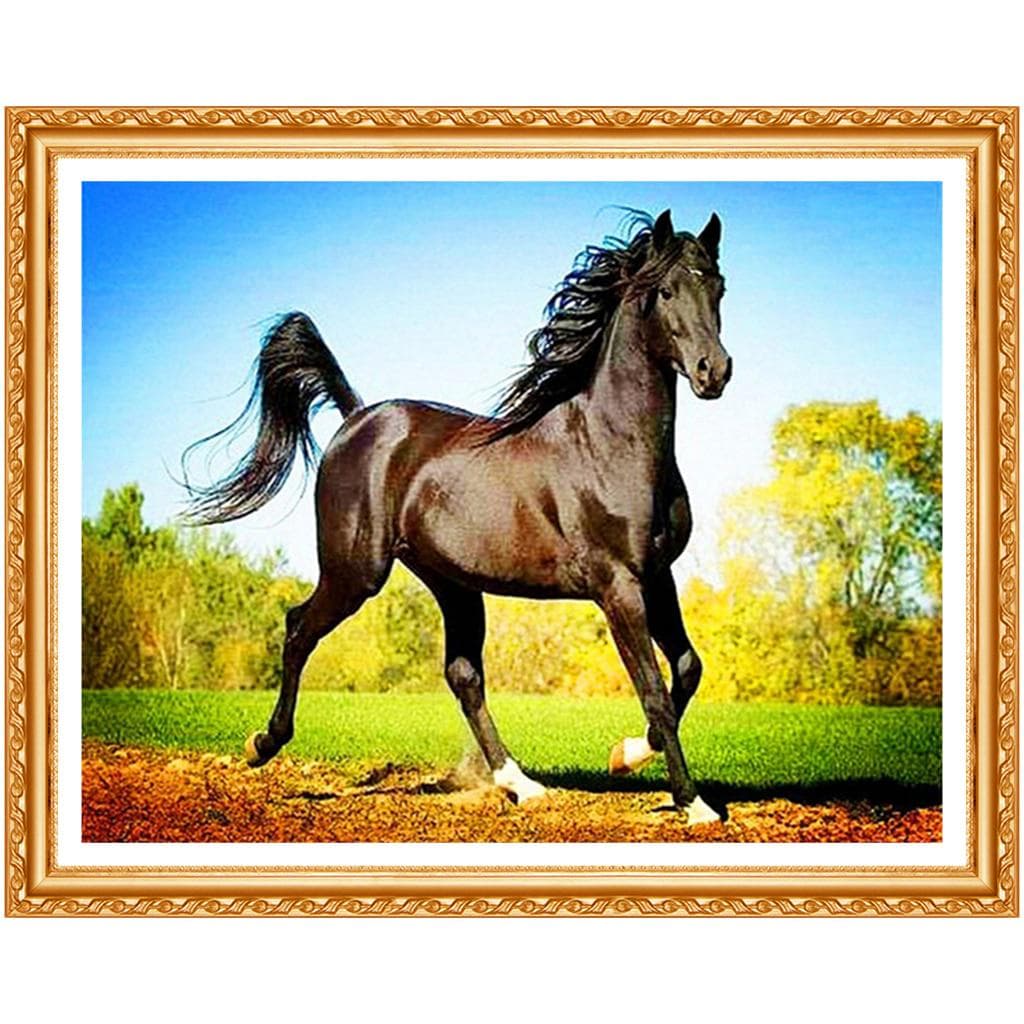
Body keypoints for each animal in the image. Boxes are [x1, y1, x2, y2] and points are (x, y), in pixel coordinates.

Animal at [183, 209, 732, 824]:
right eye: (665, 291)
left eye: (717, 286)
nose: (714, 371)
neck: (609, 446)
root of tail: (355, 419)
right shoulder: (618, 586)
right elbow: (655, 691)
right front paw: (695, 805)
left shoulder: (657, 577)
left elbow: (688, 669)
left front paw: (625, 755)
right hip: (356, 573)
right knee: (299, 627)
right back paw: (261, 745)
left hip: (453, 583)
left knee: (464, 676)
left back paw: (522, 785)